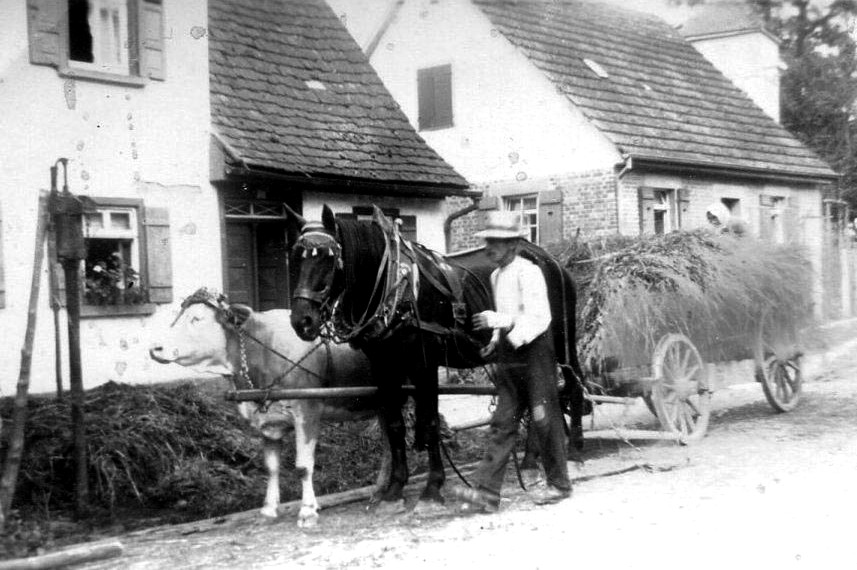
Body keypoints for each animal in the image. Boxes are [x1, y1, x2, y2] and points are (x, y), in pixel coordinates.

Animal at [148, 290, 388, 524]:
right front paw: (269, 509)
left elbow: (303, 466)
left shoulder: (307, 412)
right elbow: (271, 467)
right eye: (176, 317)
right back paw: (381, 489)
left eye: (196, 319)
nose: (154, 348)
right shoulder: (267, 421)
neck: (263, 350)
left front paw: (308, 510)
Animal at [288, 205, 580, 510]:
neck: (397, 286)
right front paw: (395, 488)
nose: (301, 321)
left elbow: (429, 424)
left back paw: (572, 454)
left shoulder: (424, 364)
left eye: (329, 258)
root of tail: (551, 260)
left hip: (561, 342)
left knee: (570, 387)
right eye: (295, 256)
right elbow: (395, 425)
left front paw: (432, 488)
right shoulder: (384, 366)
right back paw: (530, 462)